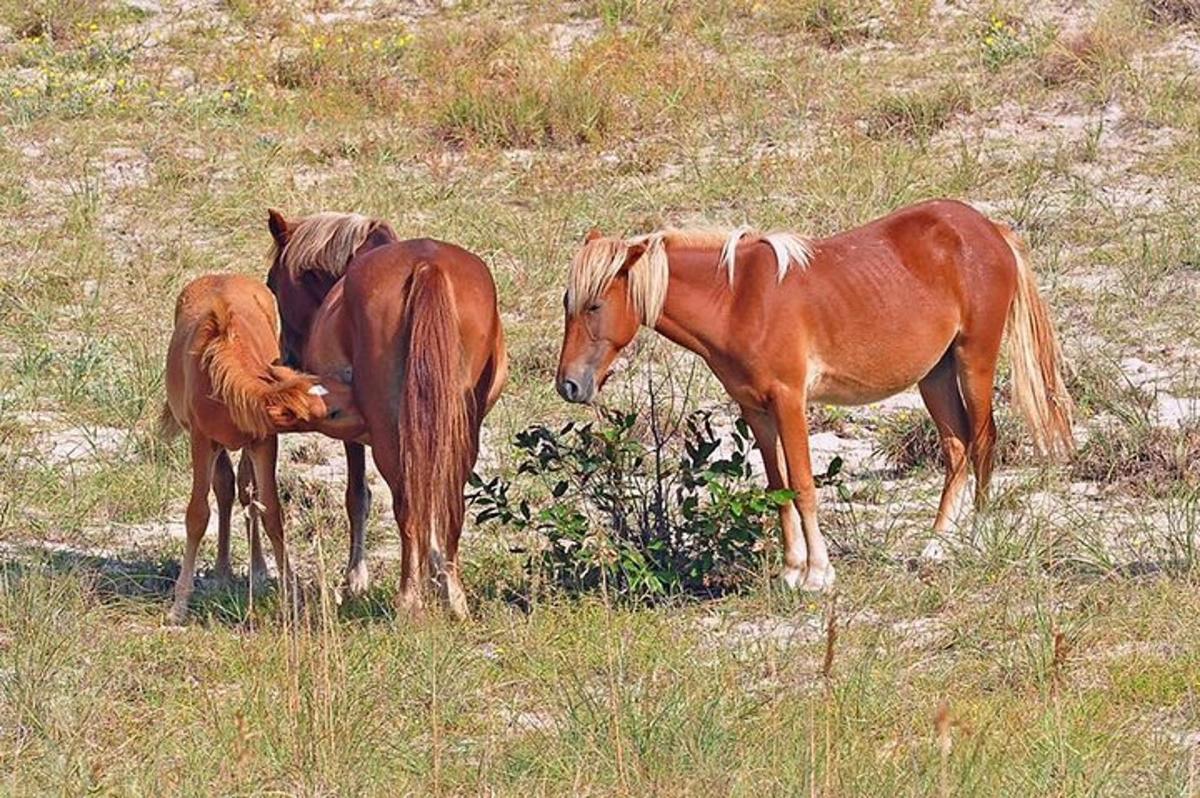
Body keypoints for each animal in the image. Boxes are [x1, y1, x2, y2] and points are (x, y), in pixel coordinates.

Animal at [162, 273, 362, 624]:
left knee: (244, 490)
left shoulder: (263, 441)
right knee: (226, 488)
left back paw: (256, 570)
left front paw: (292, 594)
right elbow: (198, 515)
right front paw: (179, 605)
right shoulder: (201, 441)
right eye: (333, 411)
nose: (369, 413)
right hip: (217, 447)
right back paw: (223, 571)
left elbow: (270, 511)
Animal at [267, 214, 506, 619]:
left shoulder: (353, 432)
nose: (285, 358)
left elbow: (357, 497)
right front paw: (436, 574)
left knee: (407, 505)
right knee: (448, 503)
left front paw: (355, 580)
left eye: (272, 283)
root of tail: (427, 265)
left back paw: (409, 599)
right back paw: (454, 597)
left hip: (391, 434)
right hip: (462, 428)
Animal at [556, 196, 1075, 588]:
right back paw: (936, 544)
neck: (739, 299)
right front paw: (791, 570)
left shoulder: (789, 401)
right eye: (567, 303)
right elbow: (777, 486)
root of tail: (989, 229)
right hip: (936, 376)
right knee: (957, 449)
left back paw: (977, 537)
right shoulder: (755, 408)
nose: (569, 384)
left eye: (595, 304)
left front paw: (818, 573)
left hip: (974, 361)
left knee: (984, 441)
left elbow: (804, 485)